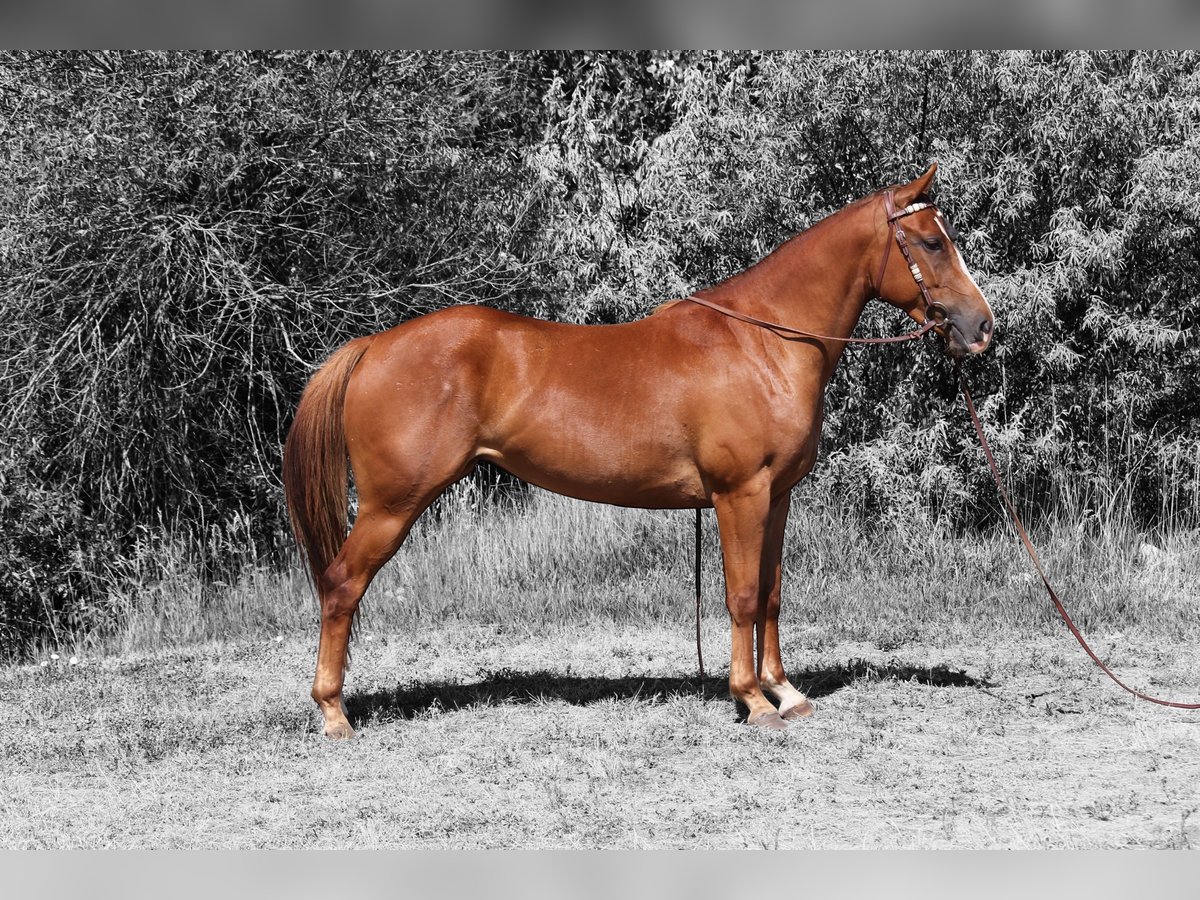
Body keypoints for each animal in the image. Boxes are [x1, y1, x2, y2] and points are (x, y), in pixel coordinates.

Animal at [283, 162, 995, 738]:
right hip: (391, 505)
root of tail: (373, 346)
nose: (982, 328)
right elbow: (741, 596)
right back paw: (334, 712)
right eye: (932, 241)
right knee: (341, 586)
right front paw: (752, 701)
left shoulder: (778, 496)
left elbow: (769, 595)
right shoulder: (740, 494)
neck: (764, 343)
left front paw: (785, 692)